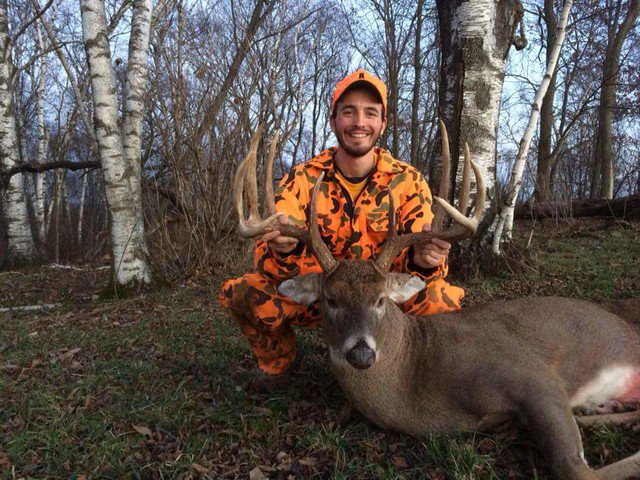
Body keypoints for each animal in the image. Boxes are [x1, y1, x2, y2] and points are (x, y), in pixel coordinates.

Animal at [233, 124, 640, 480]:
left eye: (380, 299)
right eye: (330, 299)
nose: (361, 353)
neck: (420, 382)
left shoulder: (533, 375)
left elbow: (574, 469)